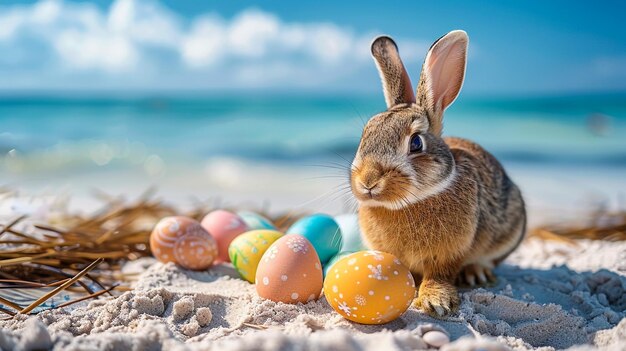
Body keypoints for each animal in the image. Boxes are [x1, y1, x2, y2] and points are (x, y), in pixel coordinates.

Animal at [348, 31, 524, 320]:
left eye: (416, 143)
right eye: (365, 136)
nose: (368, 181)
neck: (409, 202)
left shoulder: (447, 255)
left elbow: (439, 275)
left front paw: (436, 301)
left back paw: (476, 274)